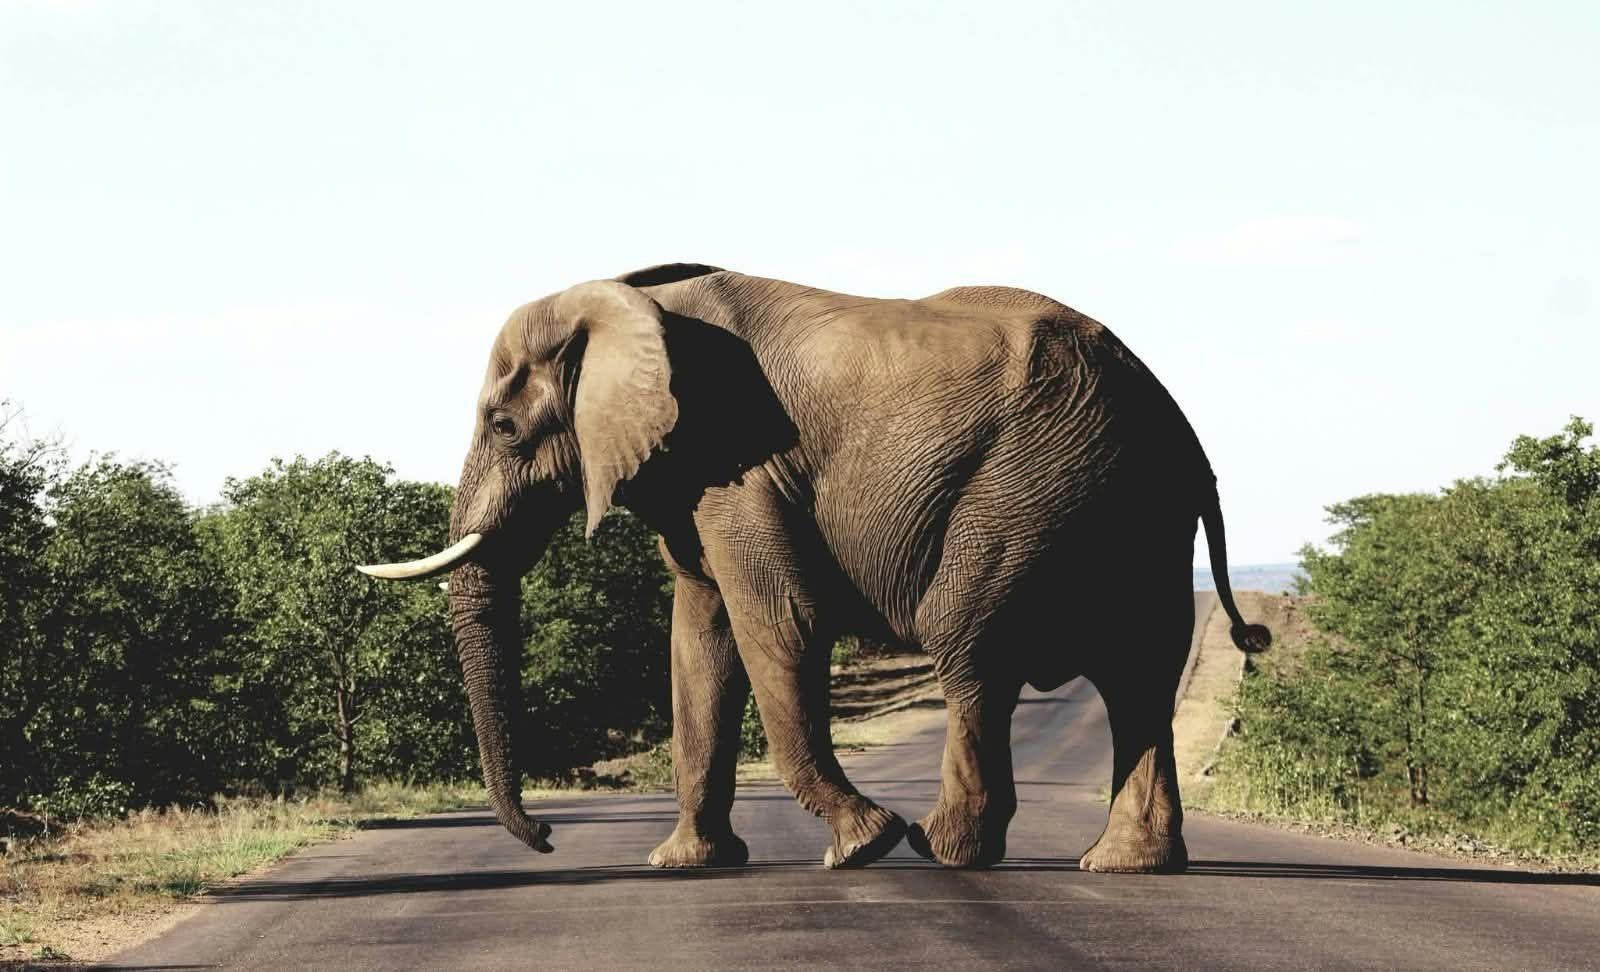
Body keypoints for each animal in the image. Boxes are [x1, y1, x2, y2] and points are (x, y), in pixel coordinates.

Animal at [359, 262, 1270, 873]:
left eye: (504, 427)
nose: (548, 837)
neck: (623, 296)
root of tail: (1179, 426)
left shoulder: (738, 465)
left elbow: (776, 621)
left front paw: (862, 847)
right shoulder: (694, 479)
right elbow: (698, 644)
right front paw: (686, 865)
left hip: (1033, 487)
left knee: (975, 650)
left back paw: (943, 850)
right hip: (1130, 509)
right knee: (1139, 673)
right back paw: (1125, 865)